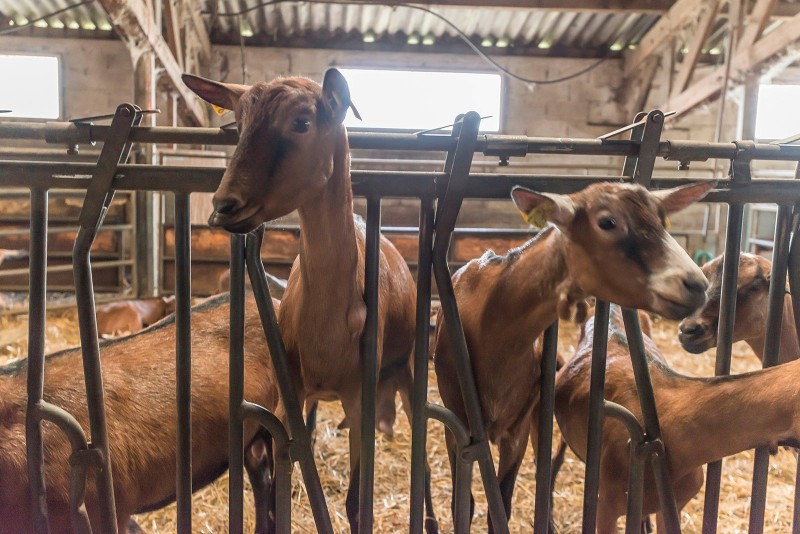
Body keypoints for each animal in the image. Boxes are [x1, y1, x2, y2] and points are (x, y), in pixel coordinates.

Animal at [183, 69, 433, 532]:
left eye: (302, 122)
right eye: (238, 124)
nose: (223, 207)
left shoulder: (359, 398)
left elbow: (356, 503)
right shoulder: (291, 397)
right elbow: (281, 482)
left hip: (406, 372)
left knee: (421, 449)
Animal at [433, 181, 713, 532]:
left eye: (663, 219)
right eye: (607, 222)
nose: (697, 284)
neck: (491, 322)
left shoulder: (518, 428)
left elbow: (502, 504)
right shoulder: (457, 427)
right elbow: (464, 503)